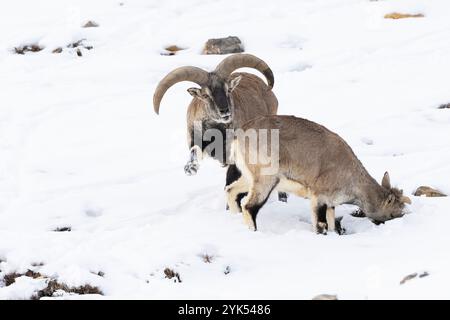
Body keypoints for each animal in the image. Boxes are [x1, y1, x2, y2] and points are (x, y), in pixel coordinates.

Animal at [225, 115, 412, 232]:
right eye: (395, 213)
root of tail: (241, 135)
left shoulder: (330, 204)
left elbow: (331, 223)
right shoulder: (318, 198)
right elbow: (321, 225)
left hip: (250, 178)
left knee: (231, 190)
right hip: (266, 180)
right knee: (249, 206)